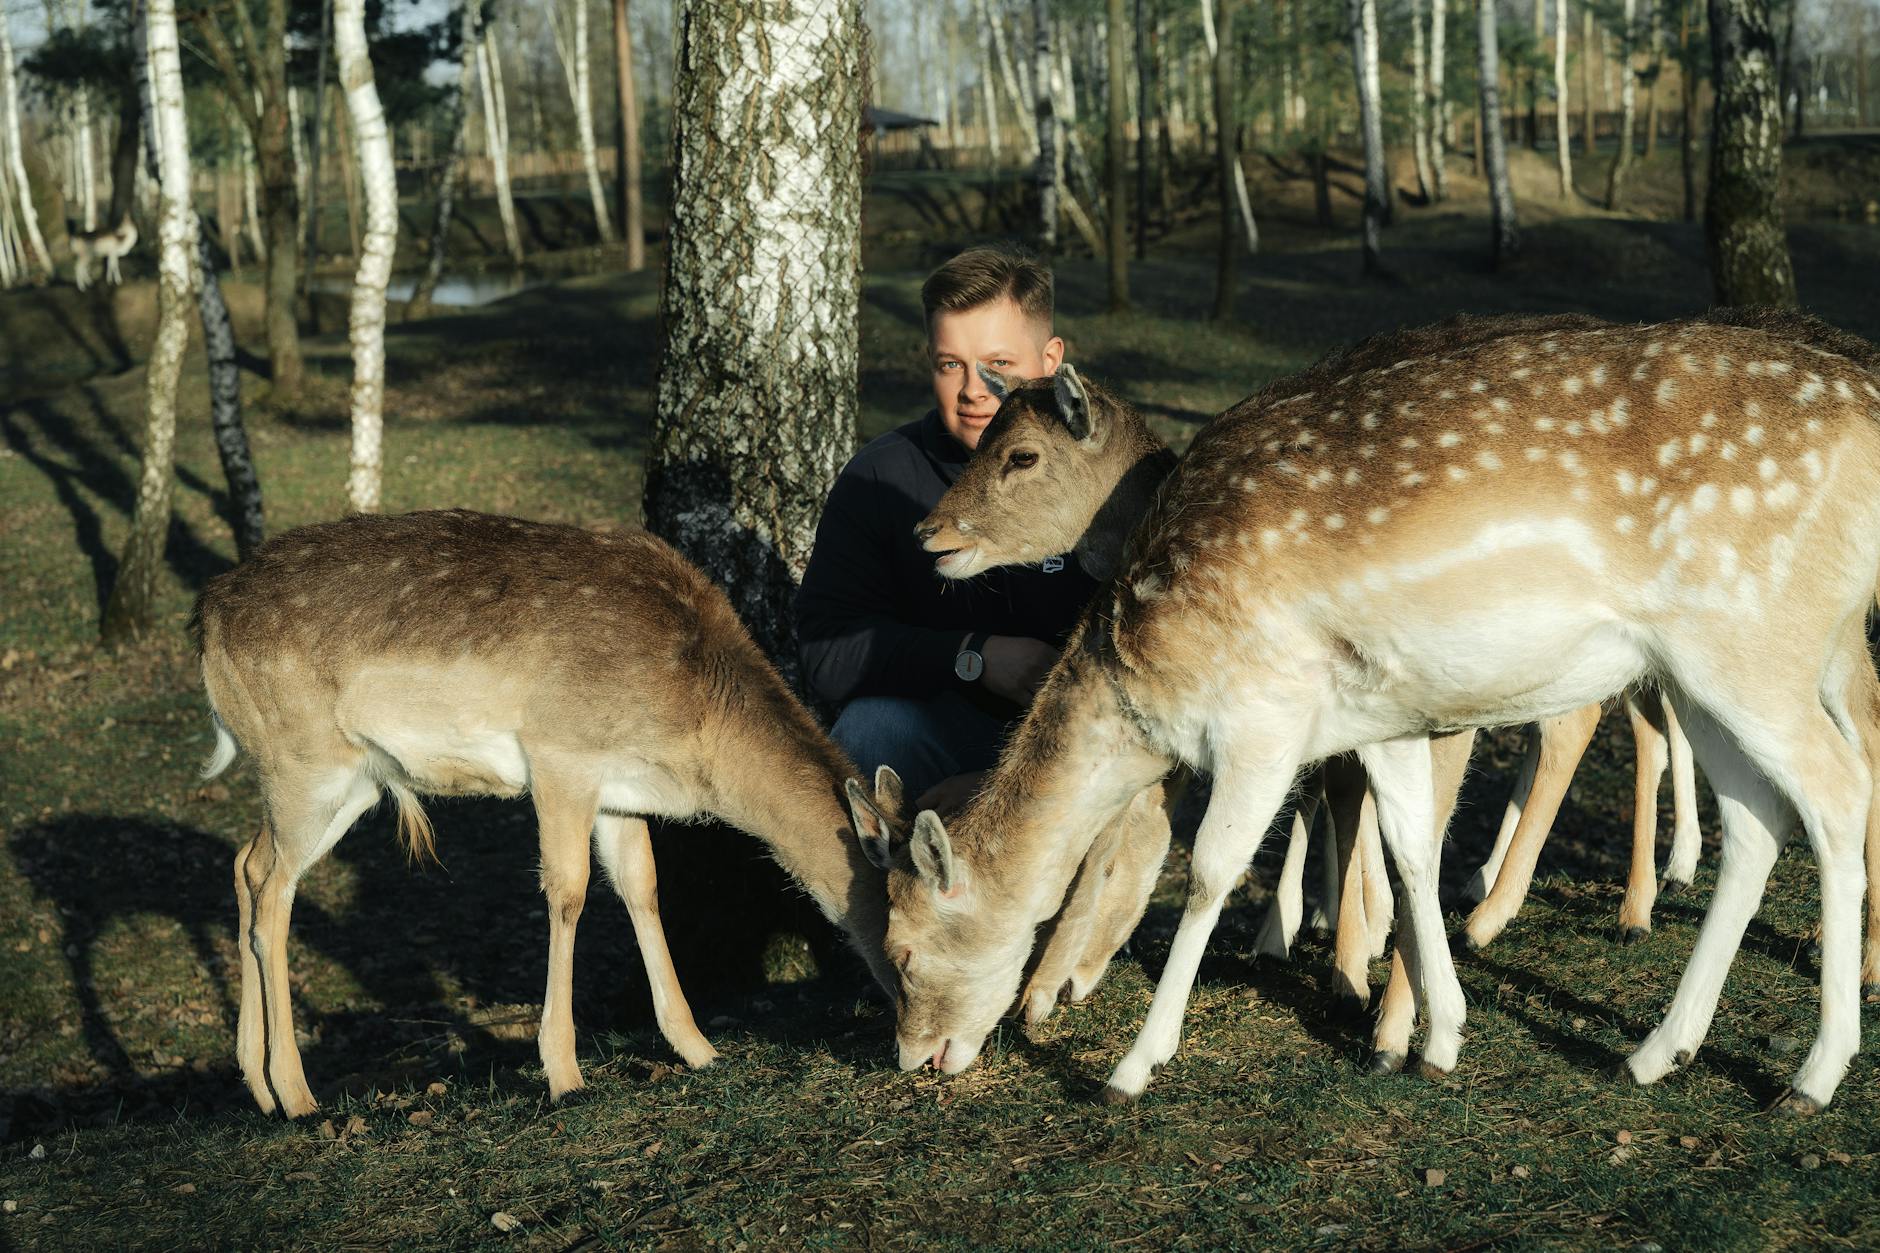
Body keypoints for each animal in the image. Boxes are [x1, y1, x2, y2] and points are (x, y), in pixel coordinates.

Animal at [194, 510, 907, 1118]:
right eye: (908, 940)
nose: (918, 1050)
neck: (697, 726)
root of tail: (203, 617)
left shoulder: (620, 790)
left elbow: (642, 887)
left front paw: (699, 1048)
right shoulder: (562, 755)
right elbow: (568, 891)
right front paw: (564, 1074)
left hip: (352, 782)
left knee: (247, 863)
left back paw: (257, 1088)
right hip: (304, 761)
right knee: (273, 893)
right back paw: (297, 1094)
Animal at [881, 312, 1880, 1112]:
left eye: (901, 950)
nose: (914, 1056)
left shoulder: (1265, 711)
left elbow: (1209, 871)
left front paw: (1134, 1064)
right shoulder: (1385, 723)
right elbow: (1409, 848)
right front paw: (1437, 1035)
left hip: (1753, 640)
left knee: (1836, 786)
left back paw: (1814, 1072)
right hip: (1704, 671)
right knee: (1758, 817)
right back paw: (1657, 1048)